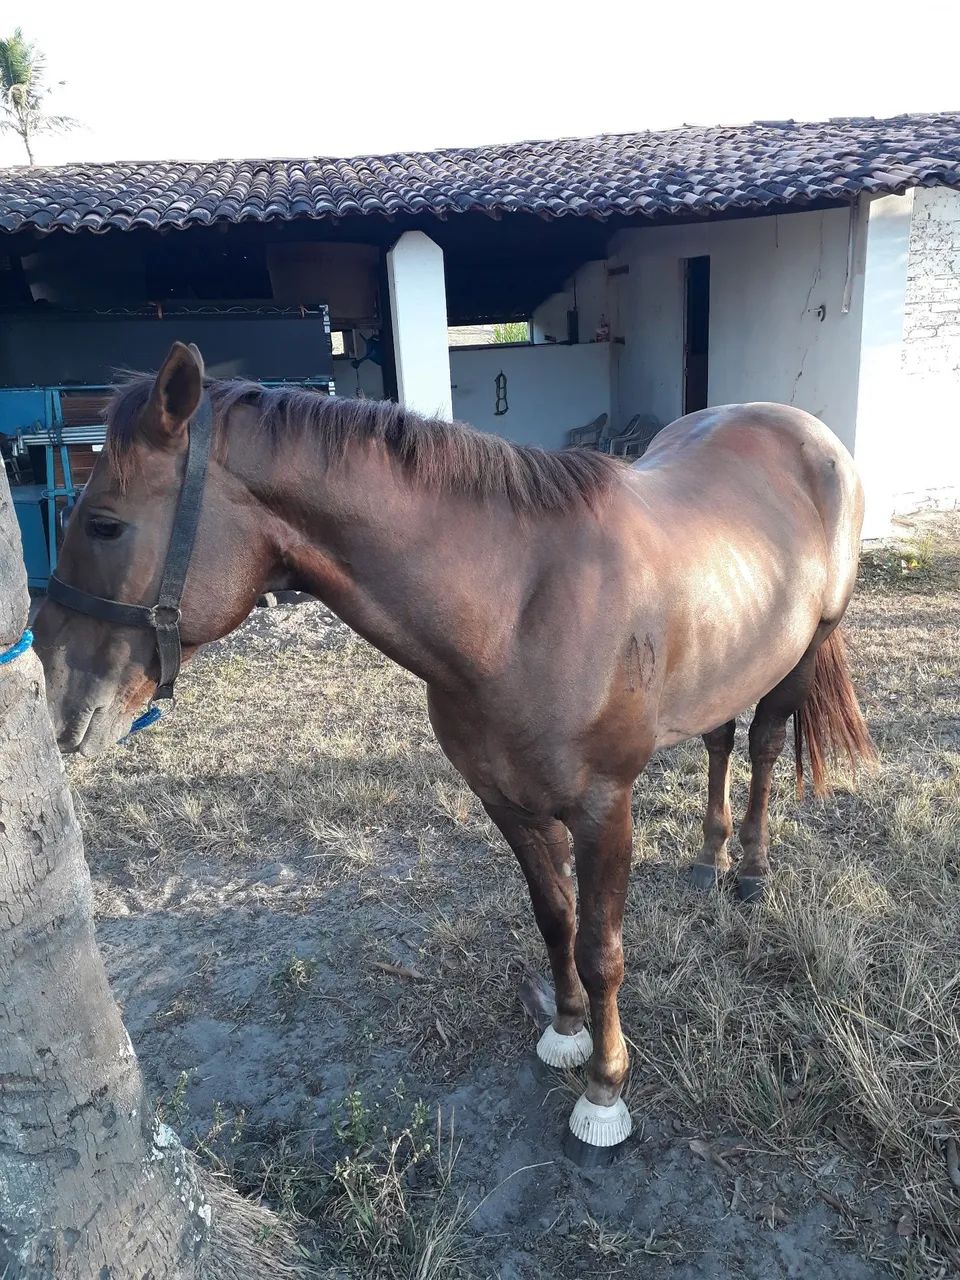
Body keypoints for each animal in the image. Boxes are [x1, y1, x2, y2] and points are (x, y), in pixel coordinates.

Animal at [34, 341, 875, 1153]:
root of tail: (804, 430)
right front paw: (565, 1033)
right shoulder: (506, 801)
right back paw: (709, 859)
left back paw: (752, 872)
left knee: (764, 748)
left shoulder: (604, 811)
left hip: (804, 652)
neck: (519, 607)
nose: (53, 695)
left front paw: (604, 1093)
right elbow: (555, 919)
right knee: (720, 742)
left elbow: (602, 951)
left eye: (104, 523)